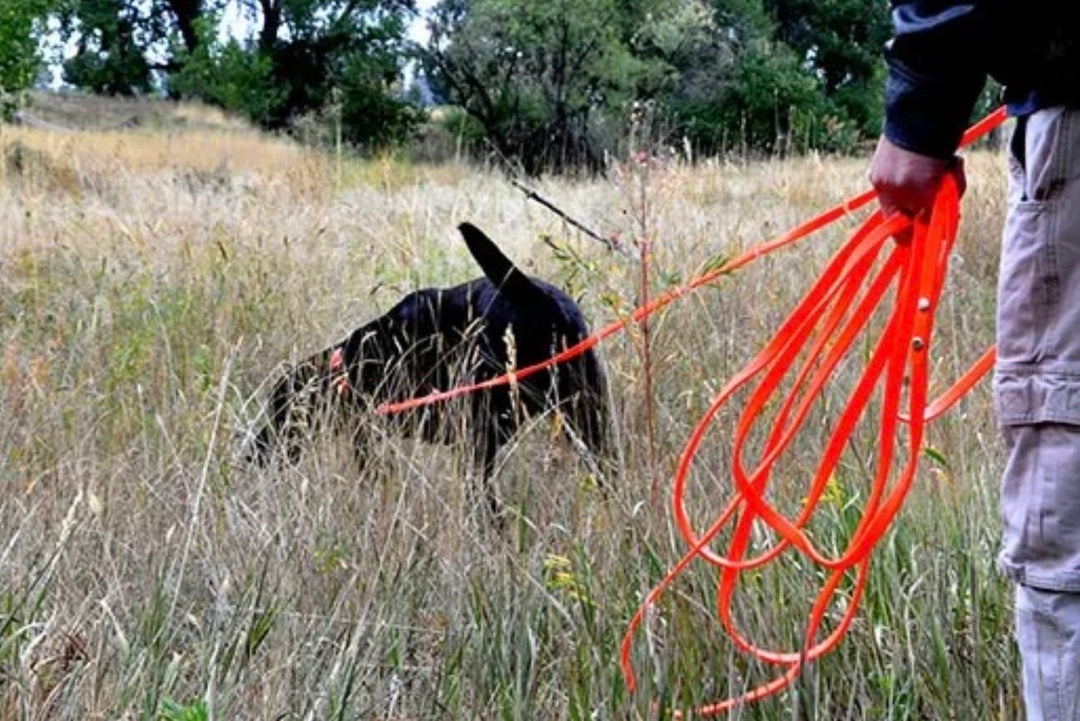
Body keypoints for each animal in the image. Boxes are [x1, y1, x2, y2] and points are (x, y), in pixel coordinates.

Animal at [247, 222, 613, 515]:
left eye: (279, 412)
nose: (253, 453)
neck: (349, 365)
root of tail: (536, 298)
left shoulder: (367, 433)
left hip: (480, 432)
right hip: (589, 419)